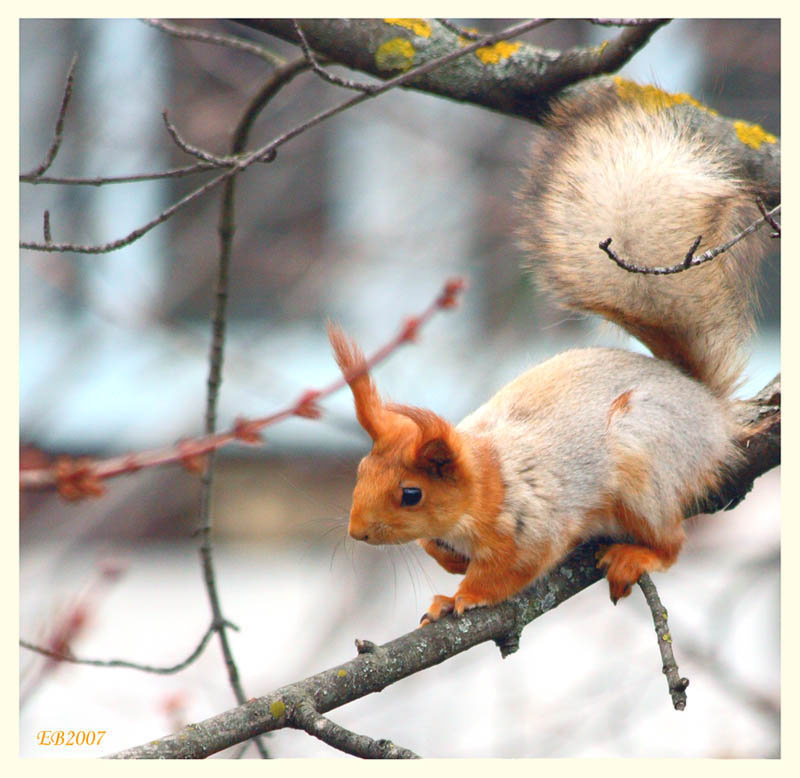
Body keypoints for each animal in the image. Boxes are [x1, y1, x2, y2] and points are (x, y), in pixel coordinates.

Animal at [327, 81, 770, 626]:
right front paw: (447, 571)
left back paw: (635, 556)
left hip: (647, 471)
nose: (357, 533)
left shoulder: (534, 524)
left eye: (412, 495)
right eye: (361, 472)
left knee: (670, 543)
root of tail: (705, 404)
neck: (488, 480)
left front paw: (462, 595)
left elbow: (511, 569)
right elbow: (442, 551)